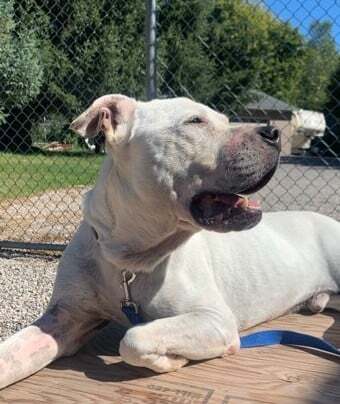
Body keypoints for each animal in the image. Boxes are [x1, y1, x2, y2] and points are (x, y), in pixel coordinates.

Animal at [0, 94, 340, 388]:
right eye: (195, 121)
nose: (273, 132)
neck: (127, 258)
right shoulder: (65, 319)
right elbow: (11, 356)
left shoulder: (213, 320)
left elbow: (133, 339)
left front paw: (172, 360)